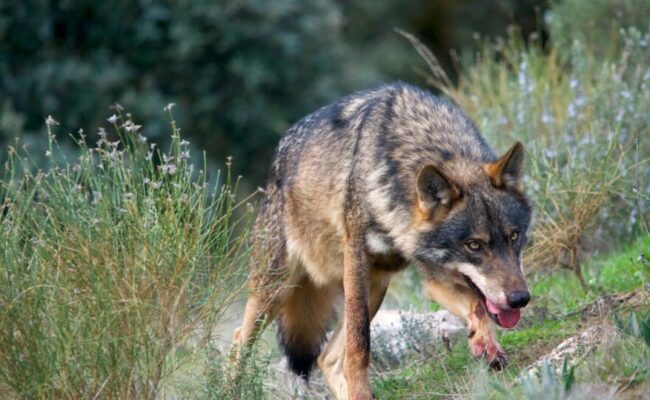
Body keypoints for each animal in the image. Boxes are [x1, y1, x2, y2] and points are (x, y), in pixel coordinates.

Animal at [231, 82, 532, 400]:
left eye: (514, 236)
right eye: (474, 245)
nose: (520, 299)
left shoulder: (433, 278)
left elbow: (477, 306)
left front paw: (486, 346)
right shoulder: (357, 260)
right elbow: (360, 344)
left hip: (376, 285)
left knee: (327, 358)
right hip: (278, 290)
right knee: (239, 342)